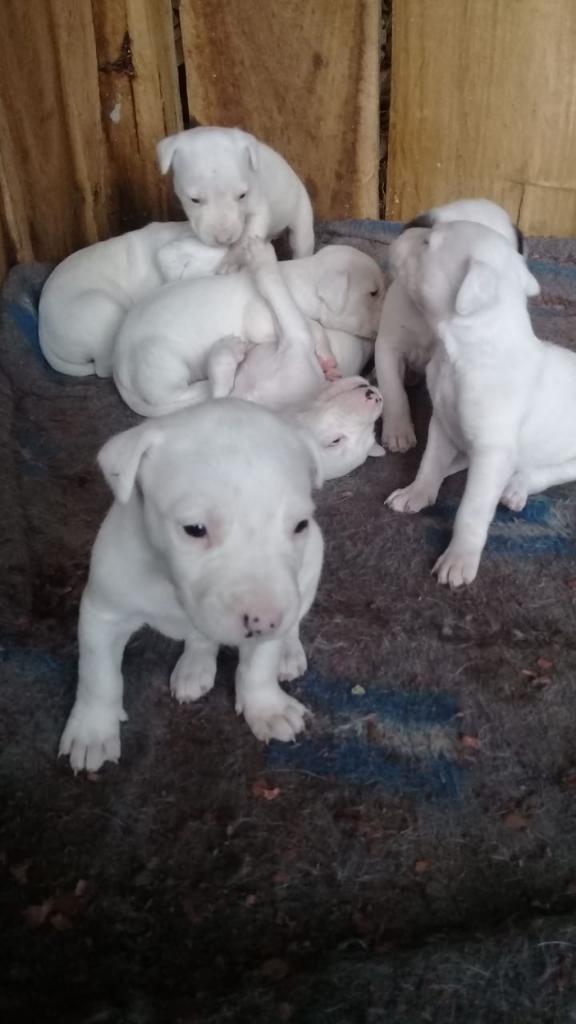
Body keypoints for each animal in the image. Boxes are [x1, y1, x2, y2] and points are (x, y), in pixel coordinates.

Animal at [60, 395, 327, 770]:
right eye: (195, 529)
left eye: (300, 525)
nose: (265, 621)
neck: (170, 583)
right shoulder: (103, 614)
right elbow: (99, 676)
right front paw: (93, 731)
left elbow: (259, 665)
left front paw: (266, 706)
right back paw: (195, 666)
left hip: (313, 563)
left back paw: (287, 652)